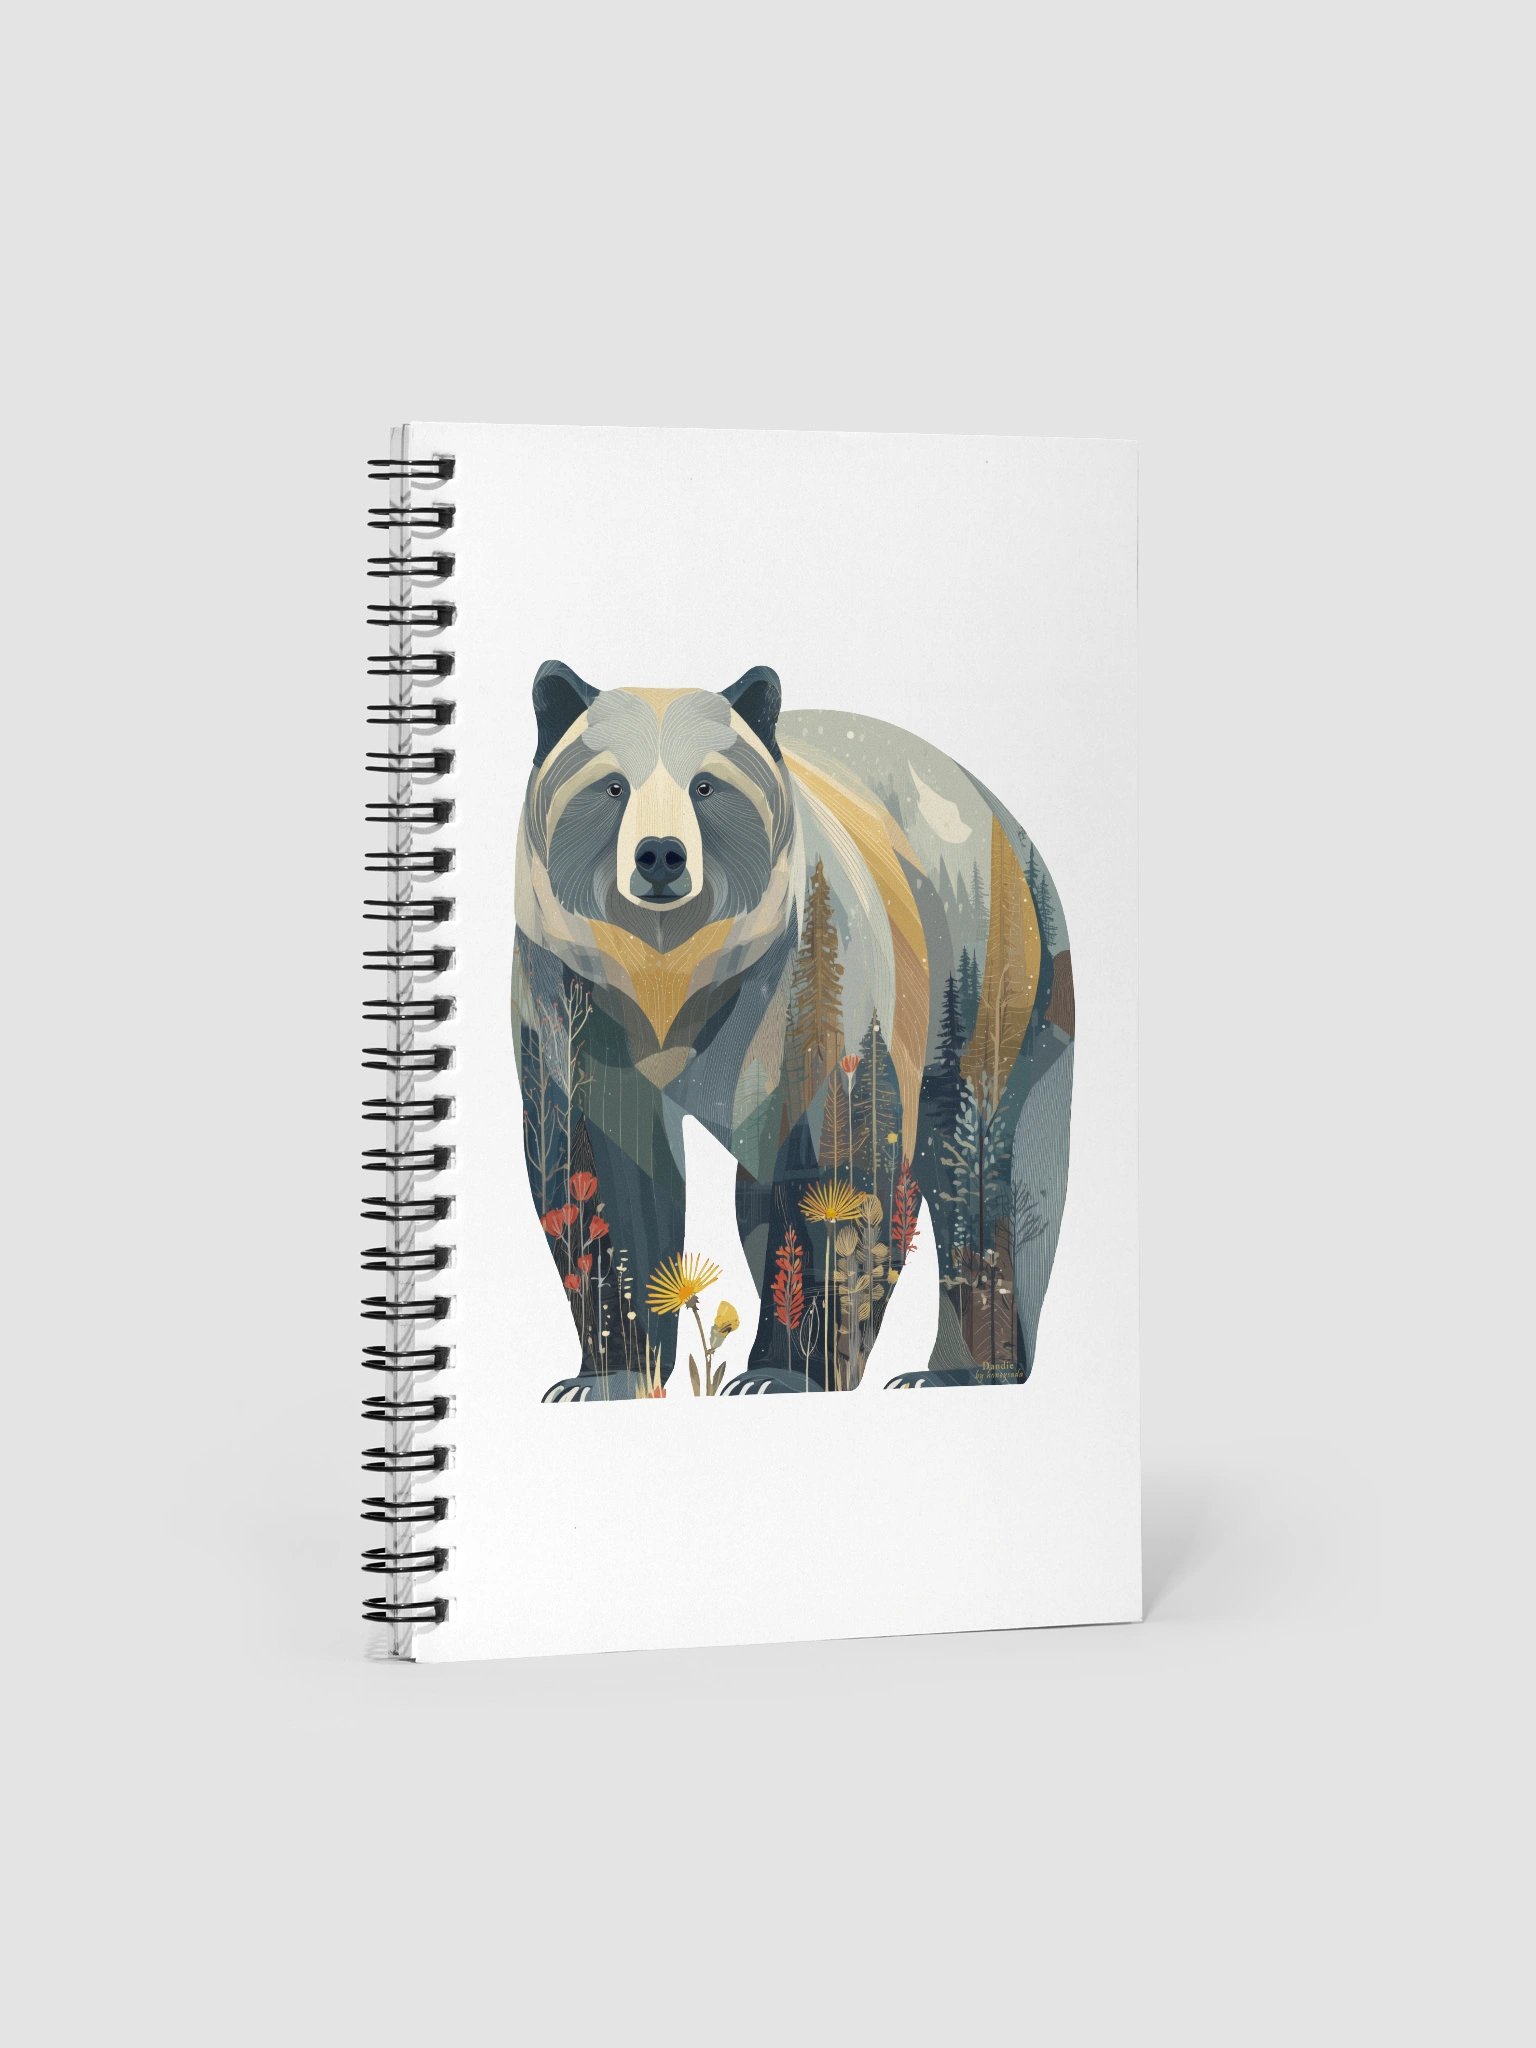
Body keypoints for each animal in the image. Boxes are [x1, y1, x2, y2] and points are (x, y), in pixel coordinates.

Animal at [513, 661, 1075, 1400]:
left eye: (706, 785)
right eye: (611, 785)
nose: (660, 856)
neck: (668, 975)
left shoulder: (803, 979)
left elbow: (834, 1160)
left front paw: (783, 1371)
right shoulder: (571, 995)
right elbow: (600, 1165)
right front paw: (607, 1374)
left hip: (986, 979)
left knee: (981, 1168)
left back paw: (958, 1369)